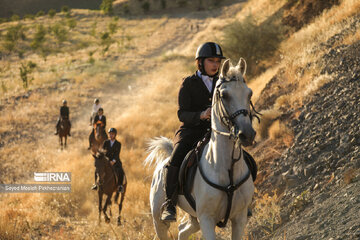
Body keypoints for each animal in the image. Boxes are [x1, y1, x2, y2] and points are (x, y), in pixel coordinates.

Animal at [144, 58, 256, 240]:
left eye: (249, 93)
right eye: (224, 95)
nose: (247, 134)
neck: (225, 169)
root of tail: (163, 163)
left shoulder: (239, 218)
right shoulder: (206, 220)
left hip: (193, 218)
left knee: (182, 230)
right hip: (159, 221)